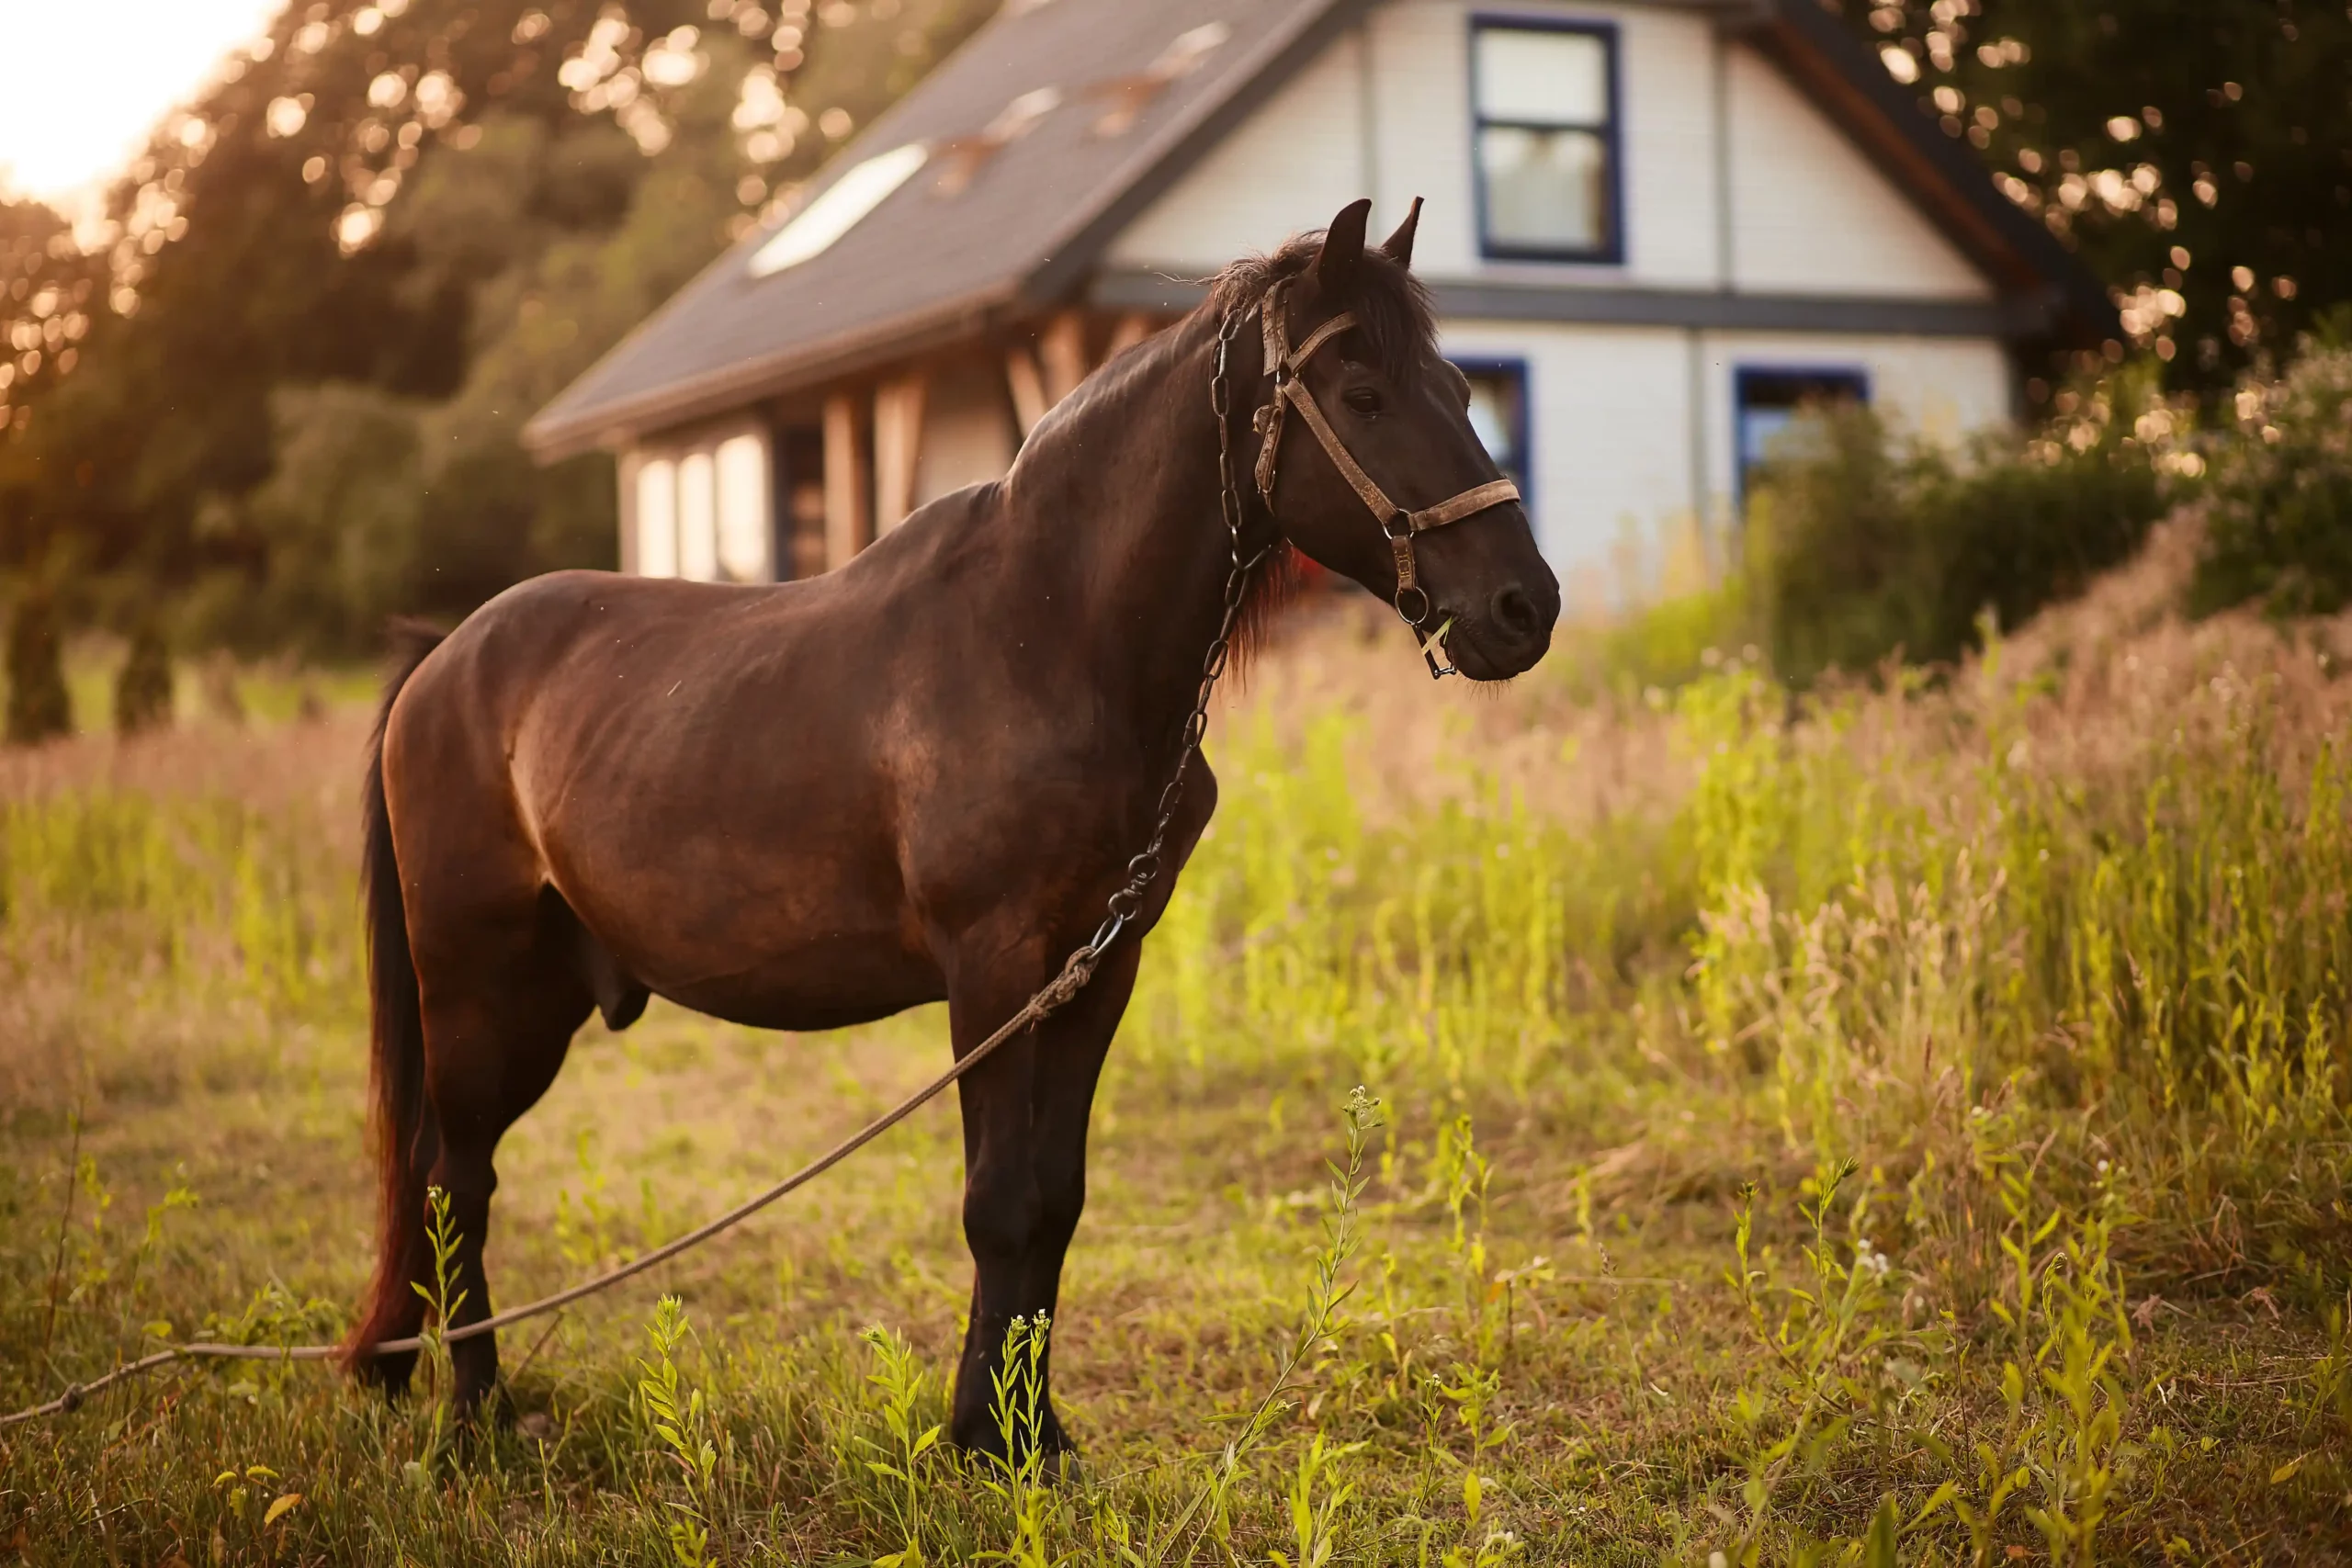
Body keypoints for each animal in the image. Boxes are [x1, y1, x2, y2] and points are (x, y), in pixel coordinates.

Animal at [344, 198, 1560, 1457]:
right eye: (1363, 392)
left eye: (1459, 389)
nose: (1524, 607)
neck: (1048, 637)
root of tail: (444, 657)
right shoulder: (991, 970)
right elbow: (999, 1202)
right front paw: (984, 1435)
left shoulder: (1096, 972)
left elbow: (1055, 1202)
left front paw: (1035, 1432)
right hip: (475, 983)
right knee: (454, 1179)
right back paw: (476, 1417)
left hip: (545, 997)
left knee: (445, 1175)